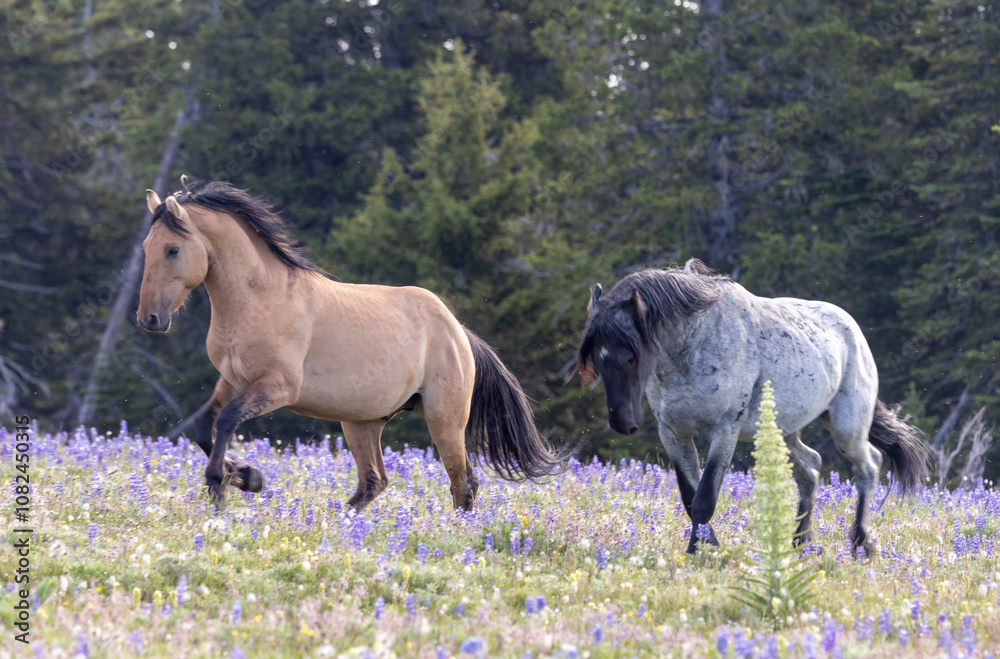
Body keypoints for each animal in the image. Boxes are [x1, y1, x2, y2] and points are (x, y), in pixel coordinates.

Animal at [137, 179, 565, 510]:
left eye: (173, 249)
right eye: (146, 247)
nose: (149, 319)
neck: (260, 299)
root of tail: (458, 331)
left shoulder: (278, 387)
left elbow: (225, 421)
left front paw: (225, 481)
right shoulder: (232, 382)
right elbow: (202, 426)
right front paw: (243, 476)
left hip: (444, 419)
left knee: (463, 482)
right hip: (362, 421)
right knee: (374, 481)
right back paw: (338, 523)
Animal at [573, 258, 927, 556]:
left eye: (630, 357)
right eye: (597, 361)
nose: (622, 423)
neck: (693, 347)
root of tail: (853, 331)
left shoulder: (725, 430)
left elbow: (704, 499)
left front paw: (701, 552)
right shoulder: (673, 433)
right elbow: (689, 497)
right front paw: (704, 546)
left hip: (846, 428)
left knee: (868, 466)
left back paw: (861, 543)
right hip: (784, 432)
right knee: (811, 469)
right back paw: (800, 543)